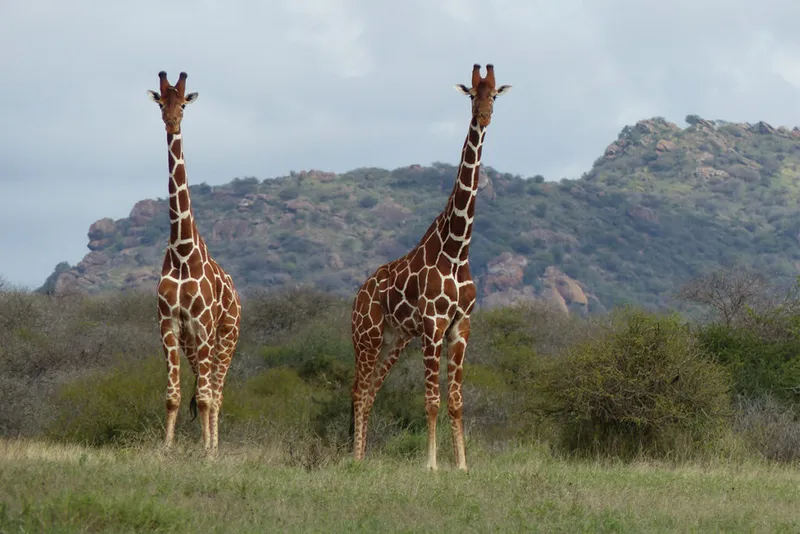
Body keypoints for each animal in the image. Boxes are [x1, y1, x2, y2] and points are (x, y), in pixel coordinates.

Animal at [350, 65, 512, 472]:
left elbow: (455, 401)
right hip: (367, 336)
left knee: (370, 392)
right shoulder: (432, 325)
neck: (457, 249)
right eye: (471, 94)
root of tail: (358, 294)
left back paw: (362, 457)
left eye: (494, 95)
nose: (484, 117)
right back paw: (354, 459)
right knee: (358, 390)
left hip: (394, 340)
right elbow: (432, 401)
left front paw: (462, 465)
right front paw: (432, 465)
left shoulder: (460, 327)